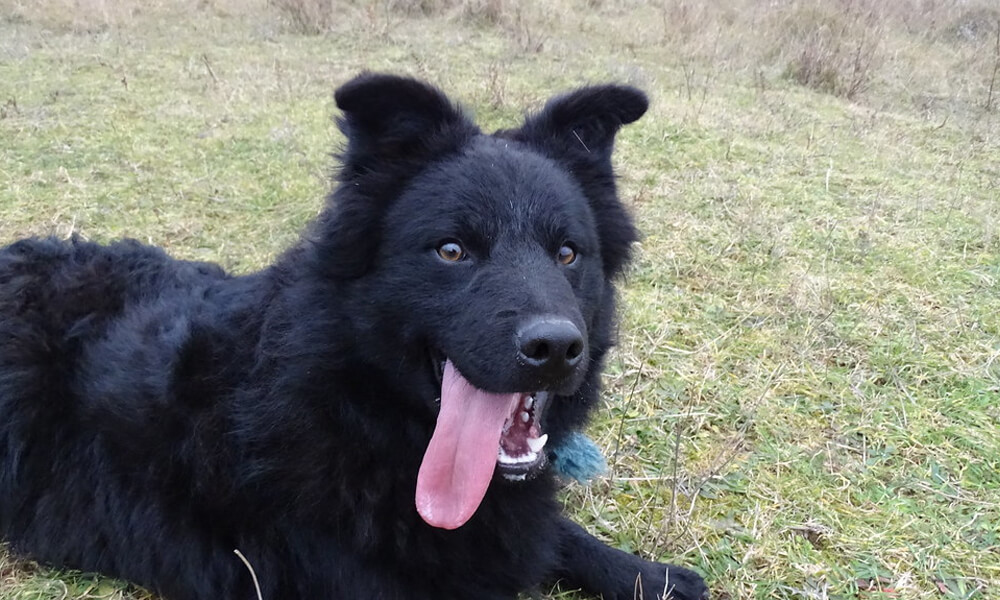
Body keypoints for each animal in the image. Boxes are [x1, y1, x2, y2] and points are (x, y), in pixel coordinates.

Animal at [0, 72, 708, 596]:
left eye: (567, 254)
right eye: (451, 251)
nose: (556, 349)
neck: (355, 407)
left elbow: (551, 533)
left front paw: (646, 575)